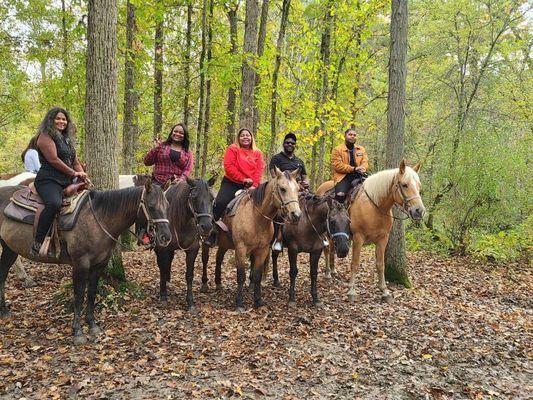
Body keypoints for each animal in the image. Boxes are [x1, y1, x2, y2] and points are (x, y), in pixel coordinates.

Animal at [0, 180, 170, 344]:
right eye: (151, 206)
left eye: (167, 205)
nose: (166, 238)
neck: (99, 219)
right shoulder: (80, 264)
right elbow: (79, 295)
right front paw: (78, 331)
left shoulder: (99, 265)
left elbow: (92, 293)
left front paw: (92, 325)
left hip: (9, 249)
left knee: (3, 275)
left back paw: (4, 311)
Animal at [153, 177, 215, 310]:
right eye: (194, 197)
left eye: (212, 198)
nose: (206, 227)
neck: (182, 222)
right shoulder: (163, 249)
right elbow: (162, 269)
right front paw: (163, 296)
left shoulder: (192, 250)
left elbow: (189, 275)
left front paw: (190, 302)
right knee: (162, 265)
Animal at [205, 167, 302, 310]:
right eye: (283, 189)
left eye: (298, 189)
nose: (296, 215)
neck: (256, 218)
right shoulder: (240, 248)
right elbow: (241, 276)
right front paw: (239, 304)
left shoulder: (262, 250)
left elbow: (257, 275)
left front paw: (258, 301)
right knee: (205, 260)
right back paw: (204, 284)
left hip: (224, 244)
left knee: (218, 258)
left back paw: (218, 283)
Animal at [316, 161, 424, 302]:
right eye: (405, 185)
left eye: (419, 185)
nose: (419, 211)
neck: (375, 207)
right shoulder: (358, 239)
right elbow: (355, 263)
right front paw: (351, 291)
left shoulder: (383, 239)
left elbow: (380, 265)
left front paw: (385, 291)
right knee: (327, 249)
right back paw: (328, 273)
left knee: (333, 249)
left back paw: (333, 271)